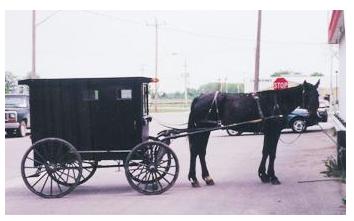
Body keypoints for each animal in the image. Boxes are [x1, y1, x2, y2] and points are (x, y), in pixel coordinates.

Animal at [187, 80, 320, 187]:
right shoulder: (274, 131)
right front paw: (273, 177)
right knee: (195, 151)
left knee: (200, 152)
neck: (277, 102)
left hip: (205, 131)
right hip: (202, 130)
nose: (314, 115)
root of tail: (199, 97)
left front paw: (263, 175)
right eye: (307, 94)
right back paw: (194, 179)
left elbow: (266, 151)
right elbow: (272, 153)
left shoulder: (268, 132)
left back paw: (206, 178)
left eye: (317, 95)